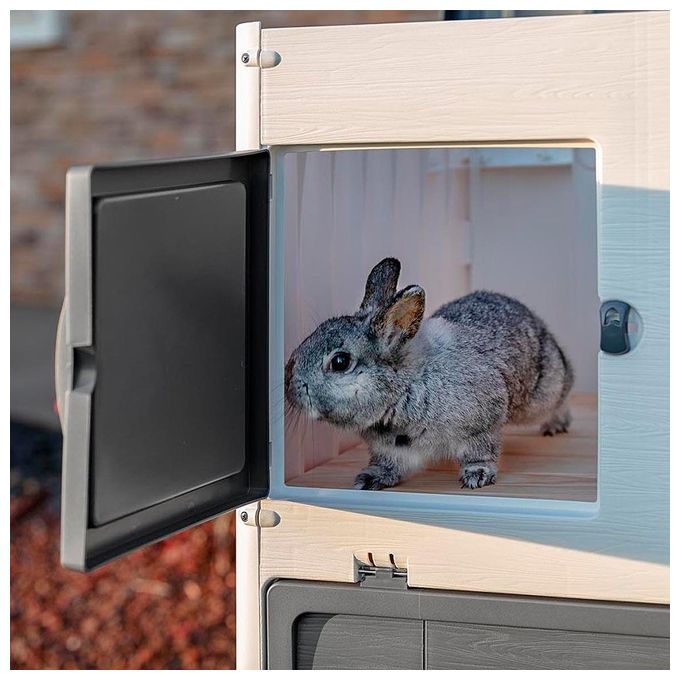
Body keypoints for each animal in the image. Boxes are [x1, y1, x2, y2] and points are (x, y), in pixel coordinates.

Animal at [285, 257, 574, 490]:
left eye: (340, 362)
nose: (289, 385)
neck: (405, 387)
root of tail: (535, 320)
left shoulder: (481, 425)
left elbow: (481, 452)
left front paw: (477, 477)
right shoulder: (389, 449)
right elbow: (388, 464)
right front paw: (369, 479)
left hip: (541, 395)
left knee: (562, 396)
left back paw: (556, 425)